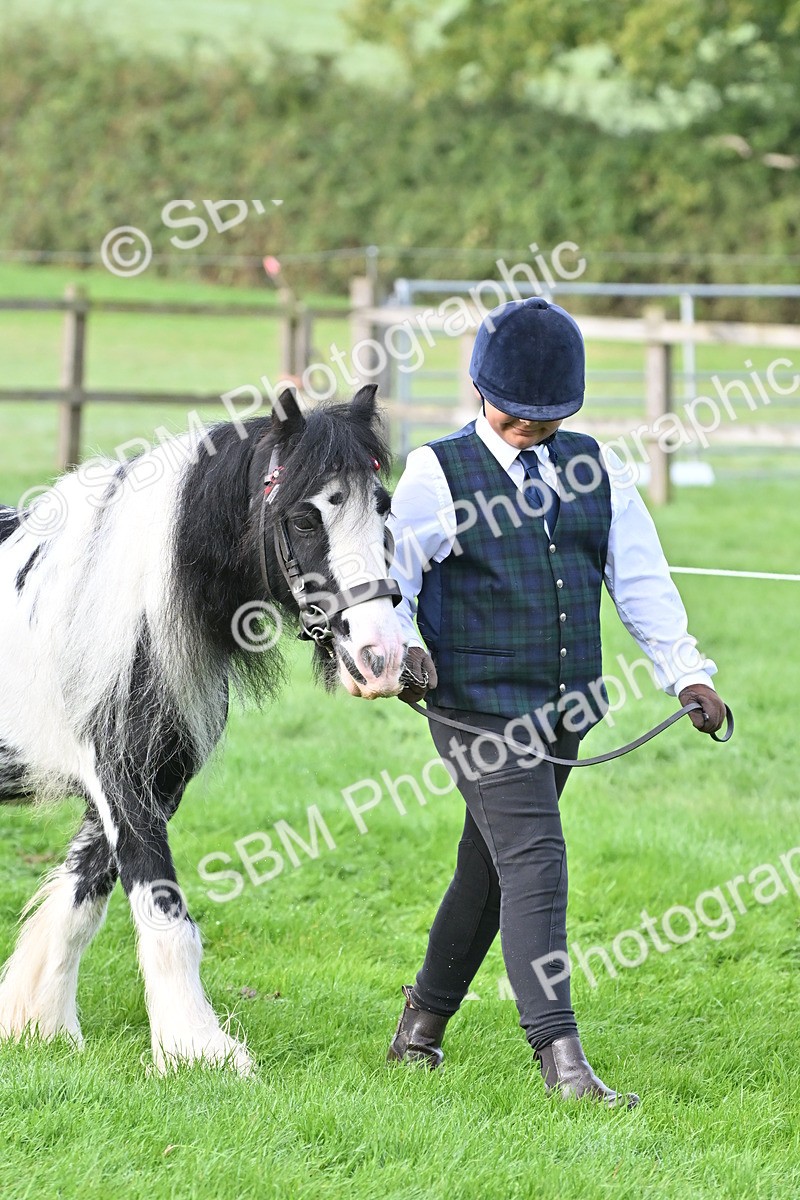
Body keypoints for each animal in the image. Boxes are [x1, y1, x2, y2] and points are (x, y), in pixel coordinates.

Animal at [0, 384, 407, 1074]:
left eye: (382, 507)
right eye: (305, 519)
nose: (381, 656)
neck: (128, 610)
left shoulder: (153, 782)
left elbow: (82, 898)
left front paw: (42, 1026)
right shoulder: (120, 782)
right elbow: (161, 911)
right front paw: (199, 1050)